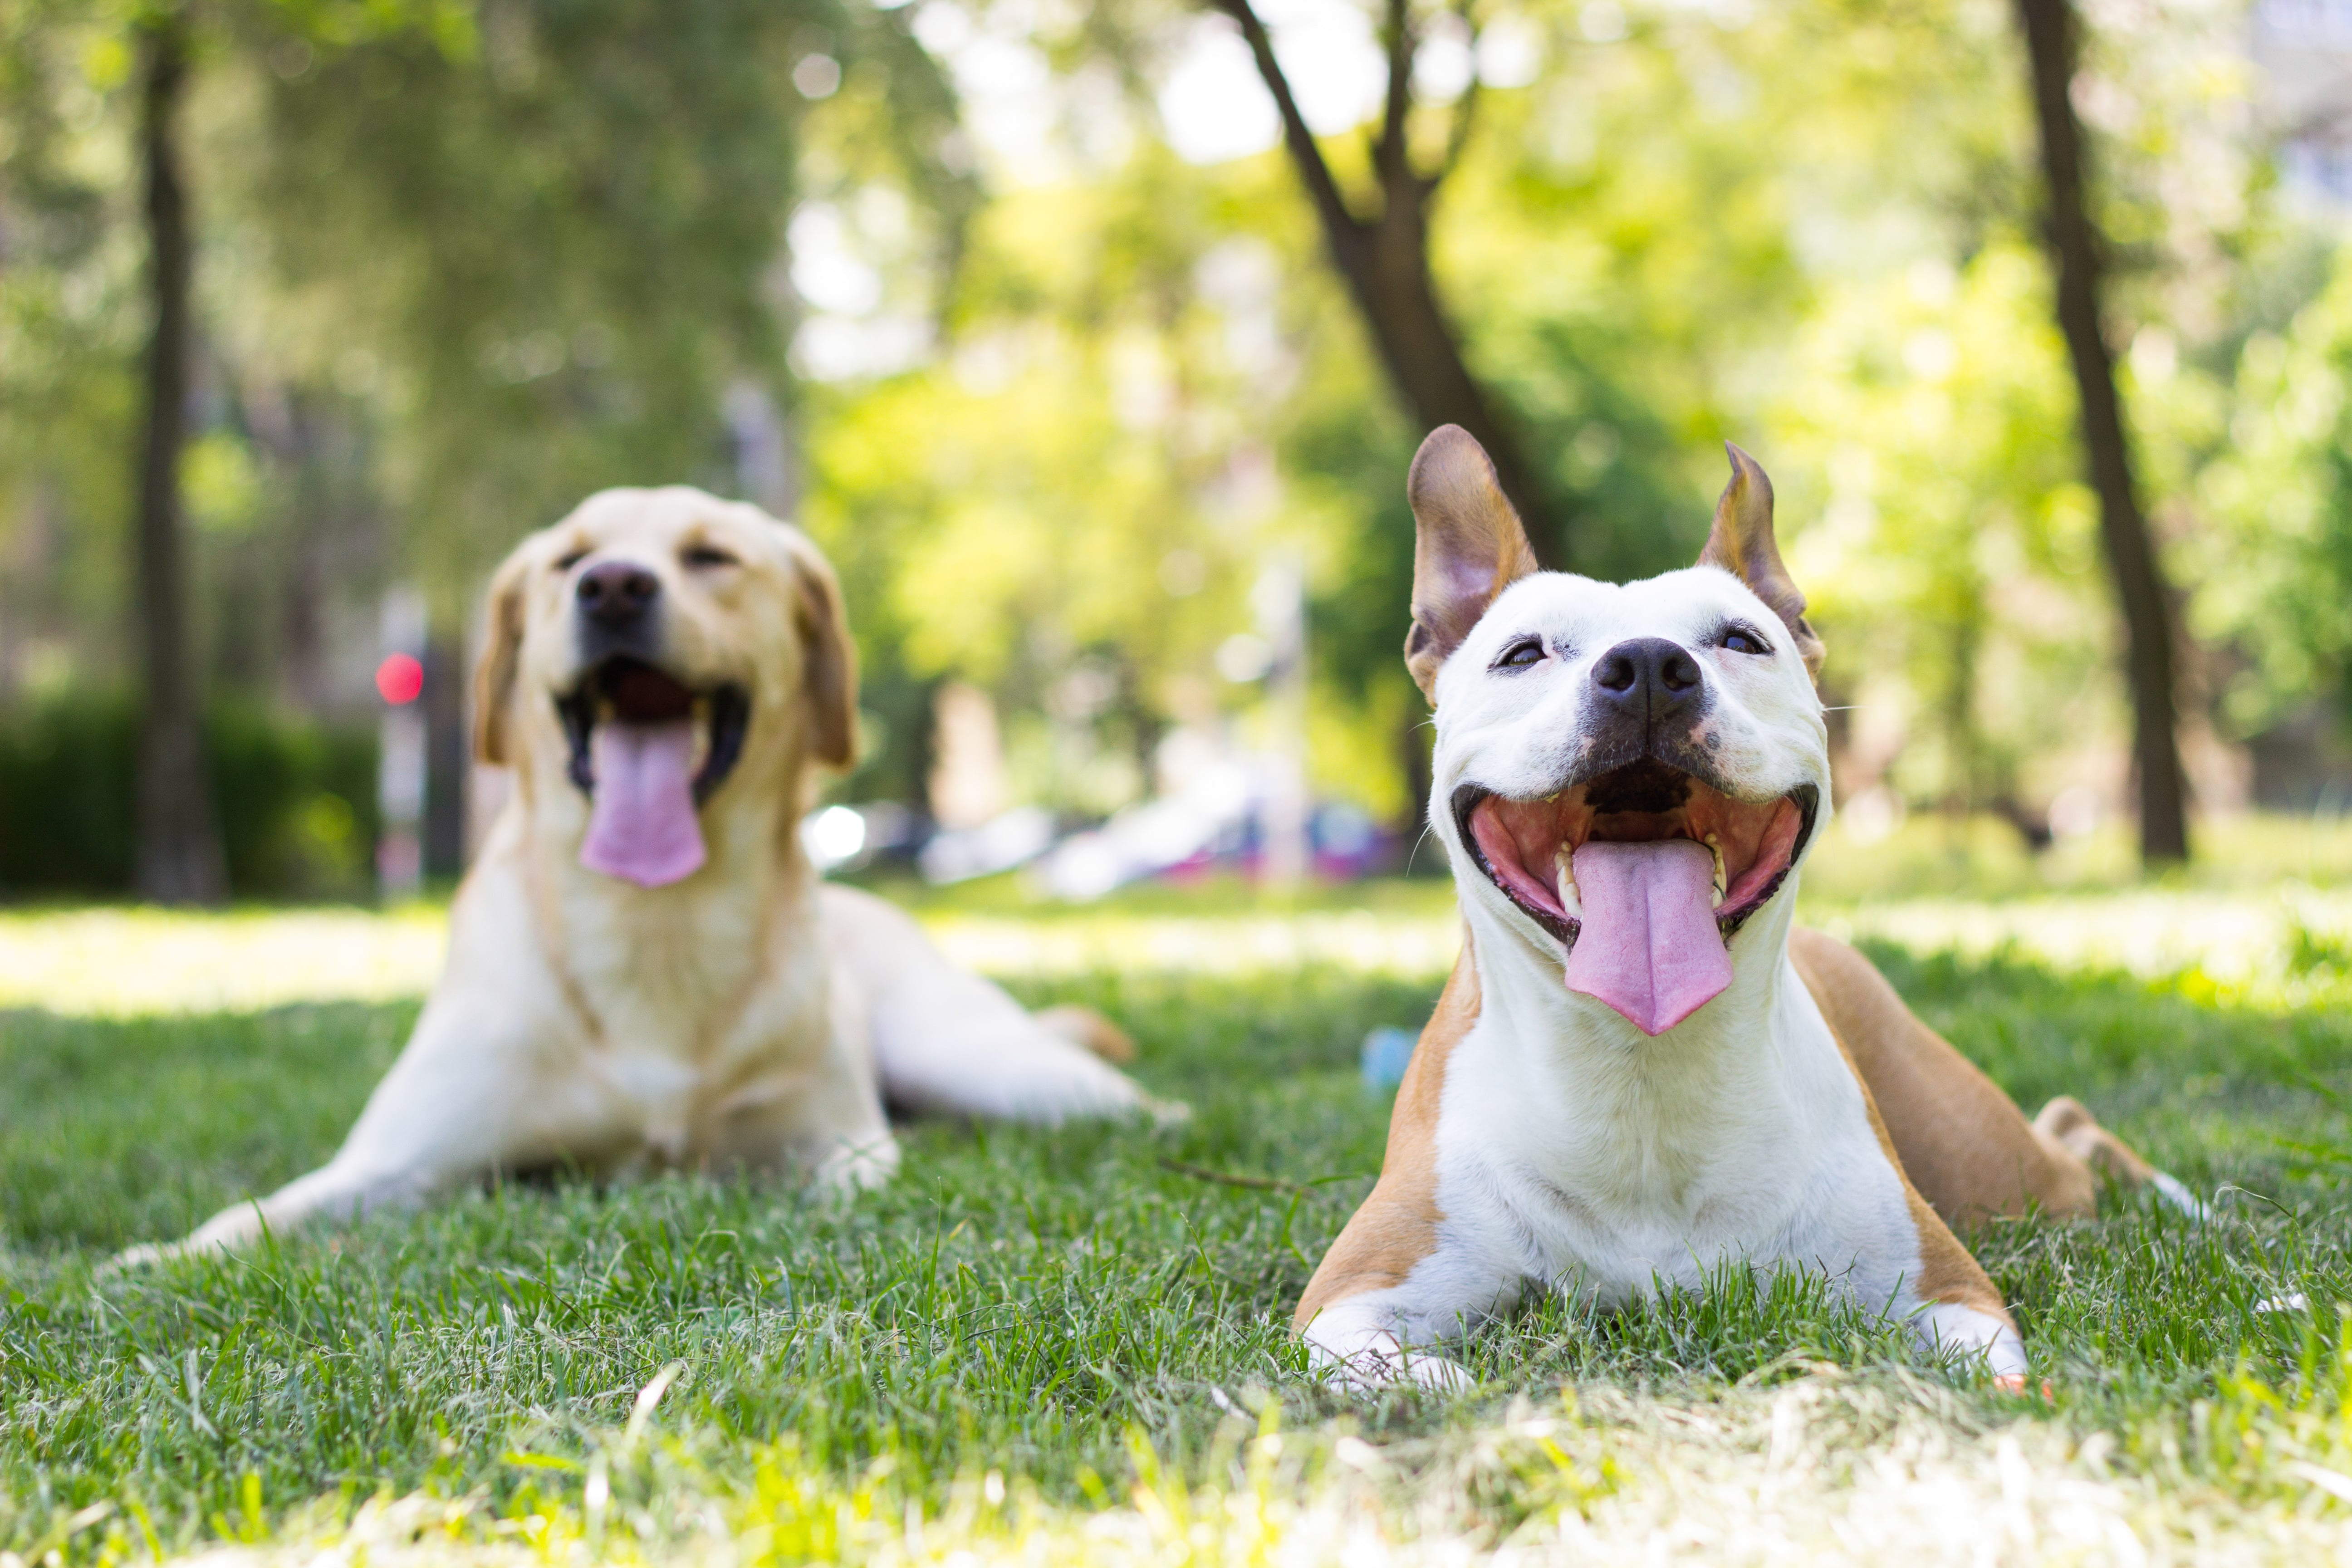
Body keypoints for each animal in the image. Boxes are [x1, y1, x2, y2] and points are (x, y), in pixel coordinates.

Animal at [128, 482, 1147, 1260]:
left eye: (711, 557)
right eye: (567, 560)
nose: (613, 586)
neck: (658, 922)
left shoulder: (845, 1146)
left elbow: (836, 1189)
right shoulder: (394, 1162)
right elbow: (256, 1216)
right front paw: (154, 1260)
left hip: (1008, 1073)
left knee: (1139, 1109)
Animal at [1298, 425, 2173, 1382]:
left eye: (1740, 640)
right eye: (1522, 654)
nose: (1647, 666)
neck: (1642, 1068)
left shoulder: (1948, 1288)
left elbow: (1992, 1371)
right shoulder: (1353, 1294)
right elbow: (1413, 1372)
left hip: (1994, 1169)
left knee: (2074, 1140)